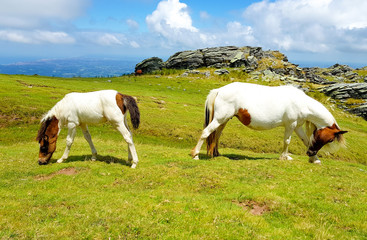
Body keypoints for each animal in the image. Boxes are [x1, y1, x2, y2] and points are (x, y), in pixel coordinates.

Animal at [191, 82, 350, 163]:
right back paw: (196, 155)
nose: (310, 152)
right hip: (219, 119)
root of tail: (219, 90)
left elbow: (306, 140)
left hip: (223, 120)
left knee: (216, 135)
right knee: (206, 133)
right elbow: (287, 141)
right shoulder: (290, 125)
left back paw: (216, 154)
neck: (302, 103)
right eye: (330, 139)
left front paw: (314, 159)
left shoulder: (297, 126)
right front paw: (284, 157)